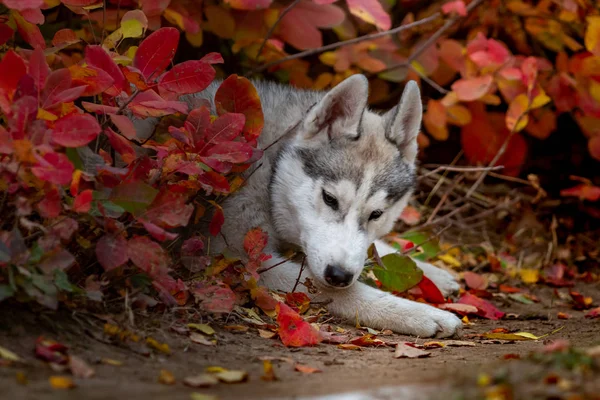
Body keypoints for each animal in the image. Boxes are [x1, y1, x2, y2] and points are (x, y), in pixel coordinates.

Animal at [137, 74, 464, 338]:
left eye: (376, 214)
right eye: (330, 199)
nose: (339, 275)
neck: (270, 172)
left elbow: (377, 250)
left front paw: (428, 271)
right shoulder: (238, 259)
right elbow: (341, 292)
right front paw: (419, 313)